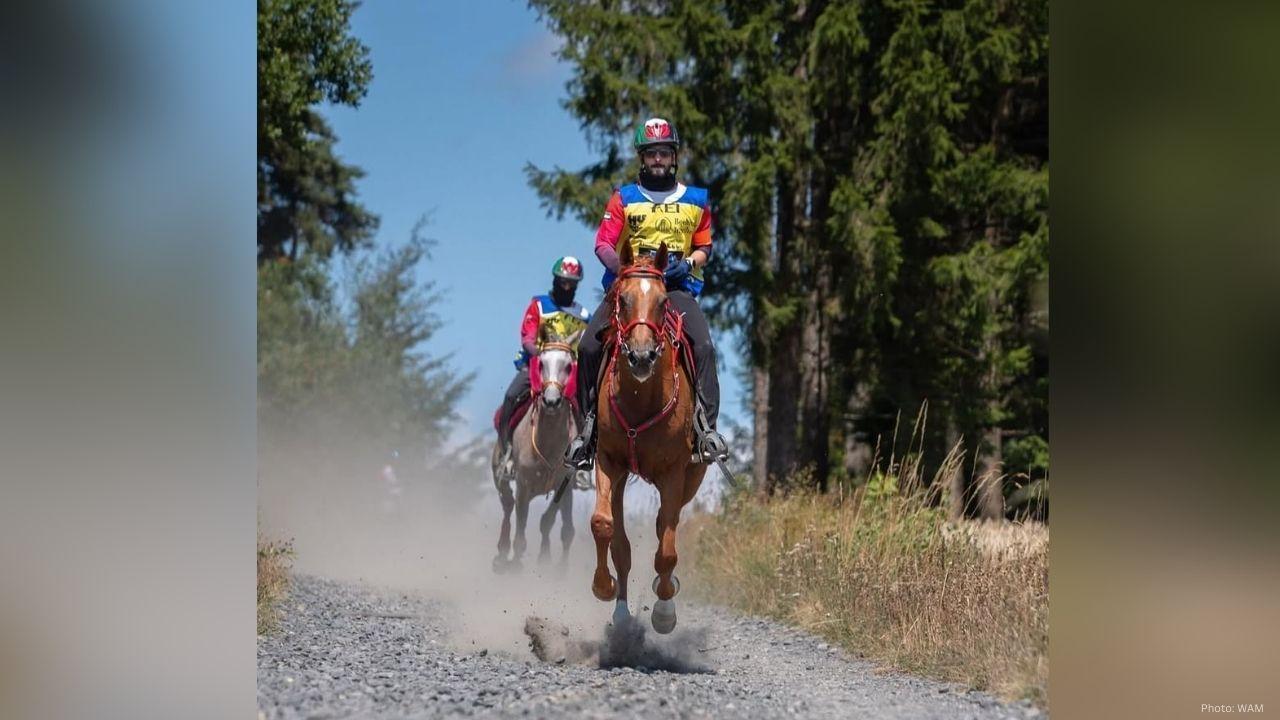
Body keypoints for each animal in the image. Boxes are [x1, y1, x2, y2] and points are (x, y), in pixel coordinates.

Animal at [491, 331, 583, 573]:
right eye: (541, 363)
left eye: (568, 366)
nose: (551, 401)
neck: (547, 444)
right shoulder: (524, 485)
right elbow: (521, 531)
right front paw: (515, 564)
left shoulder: (564, 486)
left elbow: (556, 525)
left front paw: (551, 564)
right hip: (500, 474)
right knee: (508, 505)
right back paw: (502, 554)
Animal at [588, 241, 707, 634]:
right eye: (622, 299)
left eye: (662, 301)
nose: (641, 357)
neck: (641, 397)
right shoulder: (608, 461)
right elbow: (604, 526)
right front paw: (603, 587)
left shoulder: (674, 472)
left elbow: (667, 549)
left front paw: (664, 612)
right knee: (622, 544)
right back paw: (622, 614)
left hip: (691, 478)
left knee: (663, 528)